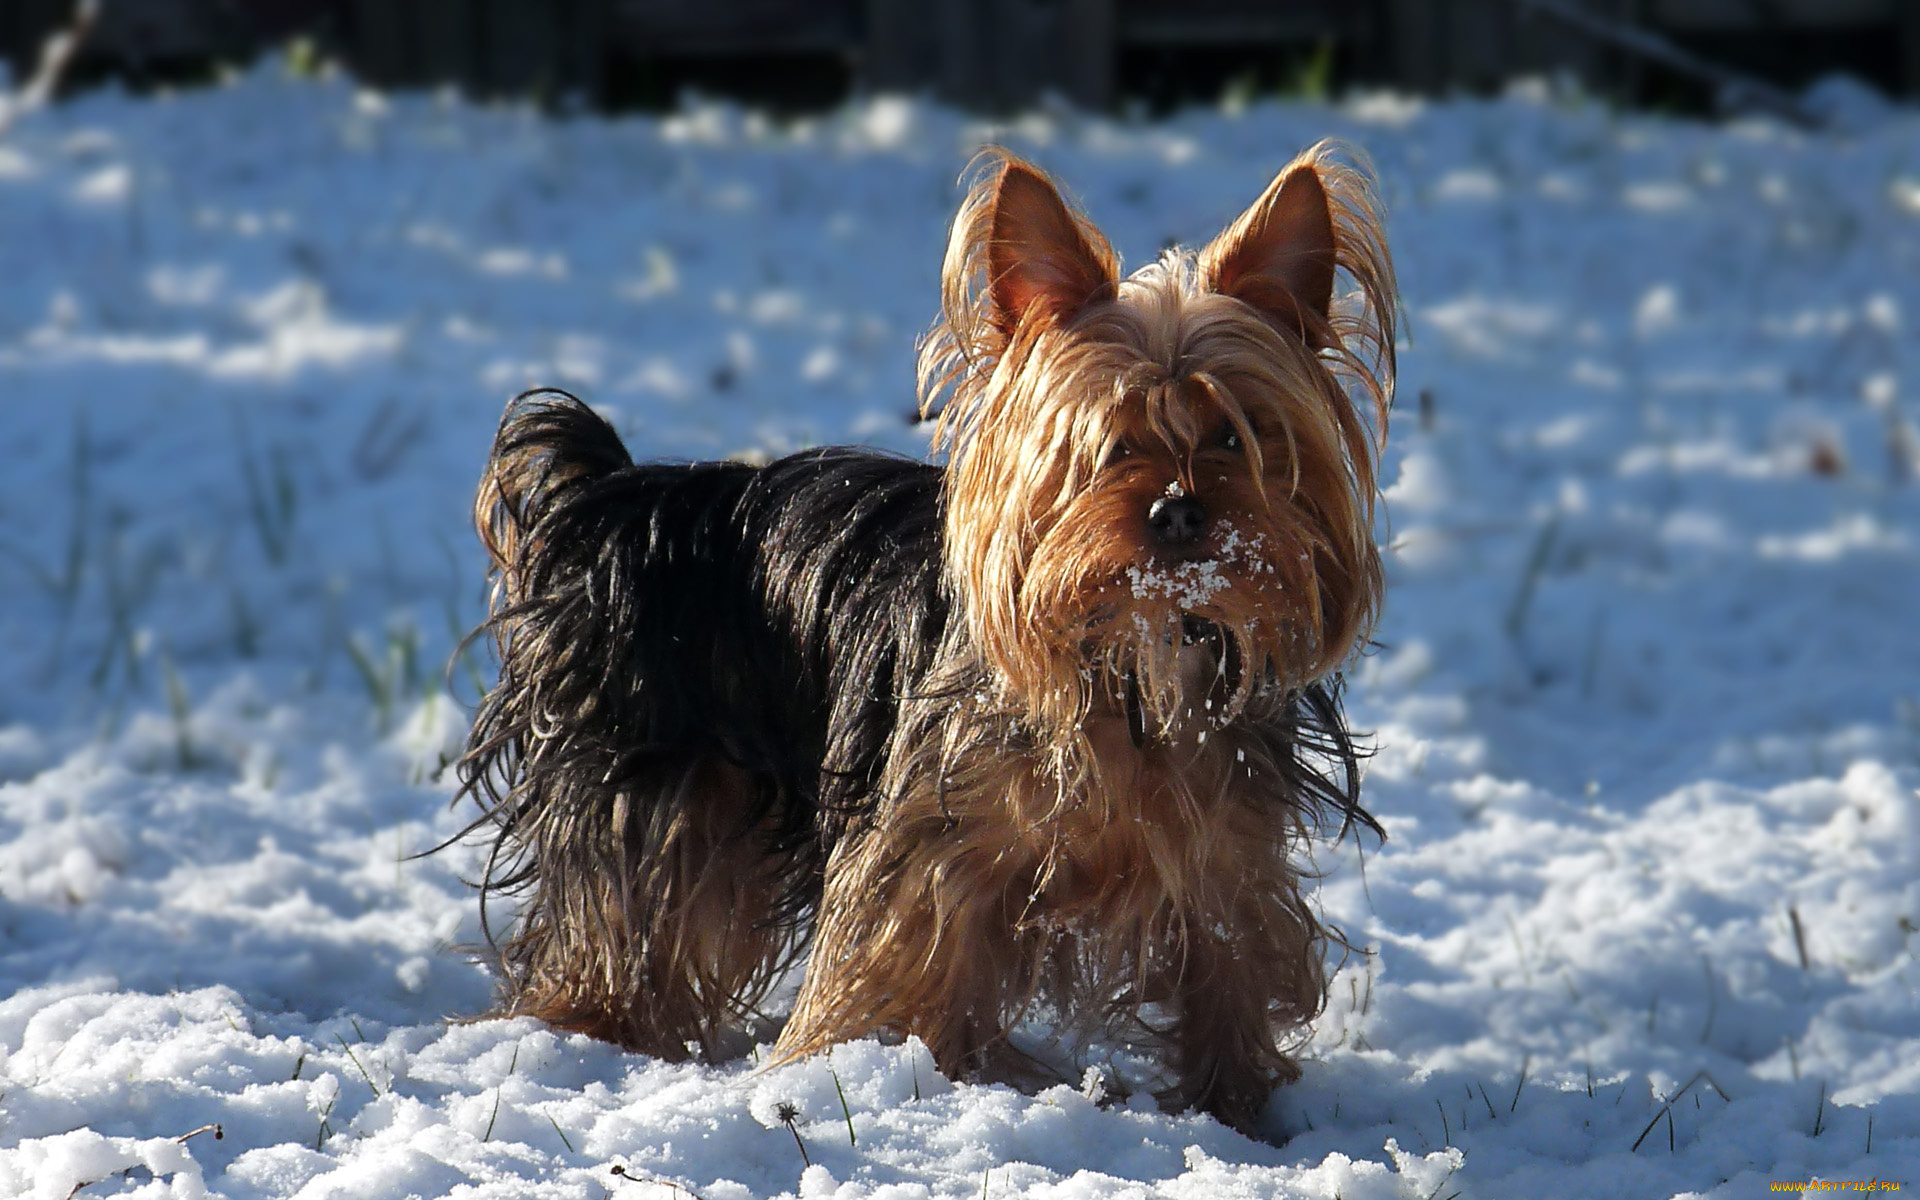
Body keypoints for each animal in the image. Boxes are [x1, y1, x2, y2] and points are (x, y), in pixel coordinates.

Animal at [458, 144, 1405, 1128]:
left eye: (1234, 435)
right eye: (1103, 445)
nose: (1178, 511)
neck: (1137, 652)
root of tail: (623, 497)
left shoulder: (1225, 854)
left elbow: (1227, 963)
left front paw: (1238, 1114)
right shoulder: (933, 857)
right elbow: (912, 959)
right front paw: (906, 1079)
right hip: (653, 784)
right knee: (627, 914)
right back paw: (594, 1030)